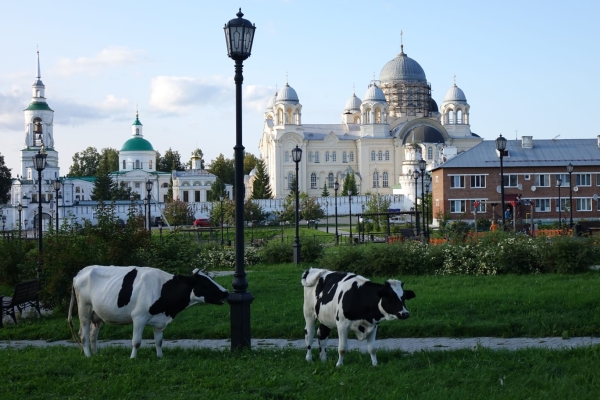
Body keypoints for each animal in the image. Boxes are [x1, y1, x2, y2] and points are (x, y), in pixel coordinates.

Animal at [67, 268, 229, 358]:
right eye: (205, 283)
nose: (226, 292)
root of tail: (80, 272)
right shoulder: (139, 317)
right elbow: (136, 341)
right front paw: (133, 358)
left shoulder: (159, 321)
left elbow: (159, 341)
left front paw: (160, 357)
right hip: (84, 309)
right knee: (84, 334)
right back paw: (88, 356)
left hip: (97, 314)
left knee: (93, 335)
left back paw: (96, 355)